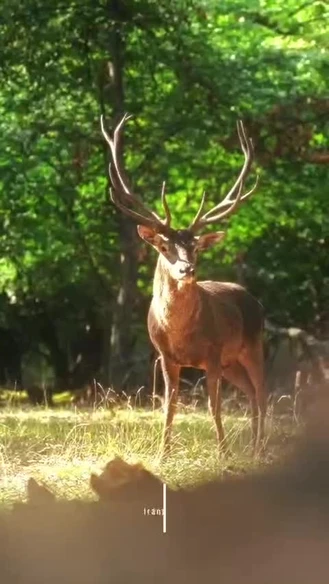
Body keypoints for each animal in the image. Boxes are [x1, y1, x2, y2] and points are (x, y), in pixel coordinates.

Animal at [100, 113, 266, 456]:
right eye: (165, 247)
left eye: (196, 247)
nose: (186, 268)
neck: (181, 334)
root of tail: (253, 299)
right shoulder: (165, 356)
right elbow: (169, 407)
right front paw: (162, 454)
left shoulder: (214, 353)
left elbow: (214, 406)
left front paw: (223, 453)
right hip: (232, 361)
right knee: (250, 393)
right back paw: (253, 446)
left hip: (253, 343)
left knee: (261, 393)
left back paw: (258, 446)